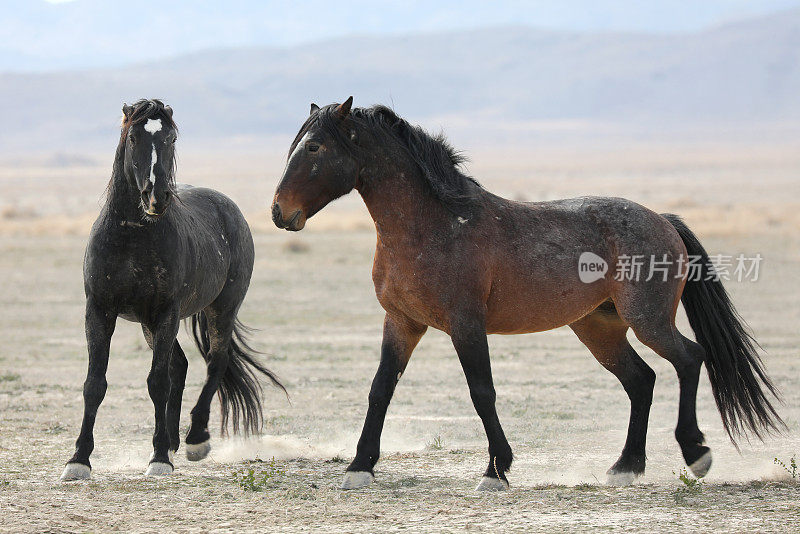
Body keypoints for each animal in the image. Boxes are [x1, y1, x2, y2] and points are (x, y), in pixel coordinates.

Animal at [270, 98, 780, 492]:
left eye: (314, 147)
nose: (279, 212)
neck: (433, 225)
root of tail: (662, 220)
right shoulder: (402, 323)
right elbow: (380, 389)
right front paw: (359, 468)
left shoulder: (466, 324)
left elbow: (482, 392)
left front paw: (496, 470)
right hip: (598, 327)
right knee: (642, 380)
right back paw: (625, 468)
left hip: (648, 320)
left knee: (689, 359)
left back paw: (696, 454)